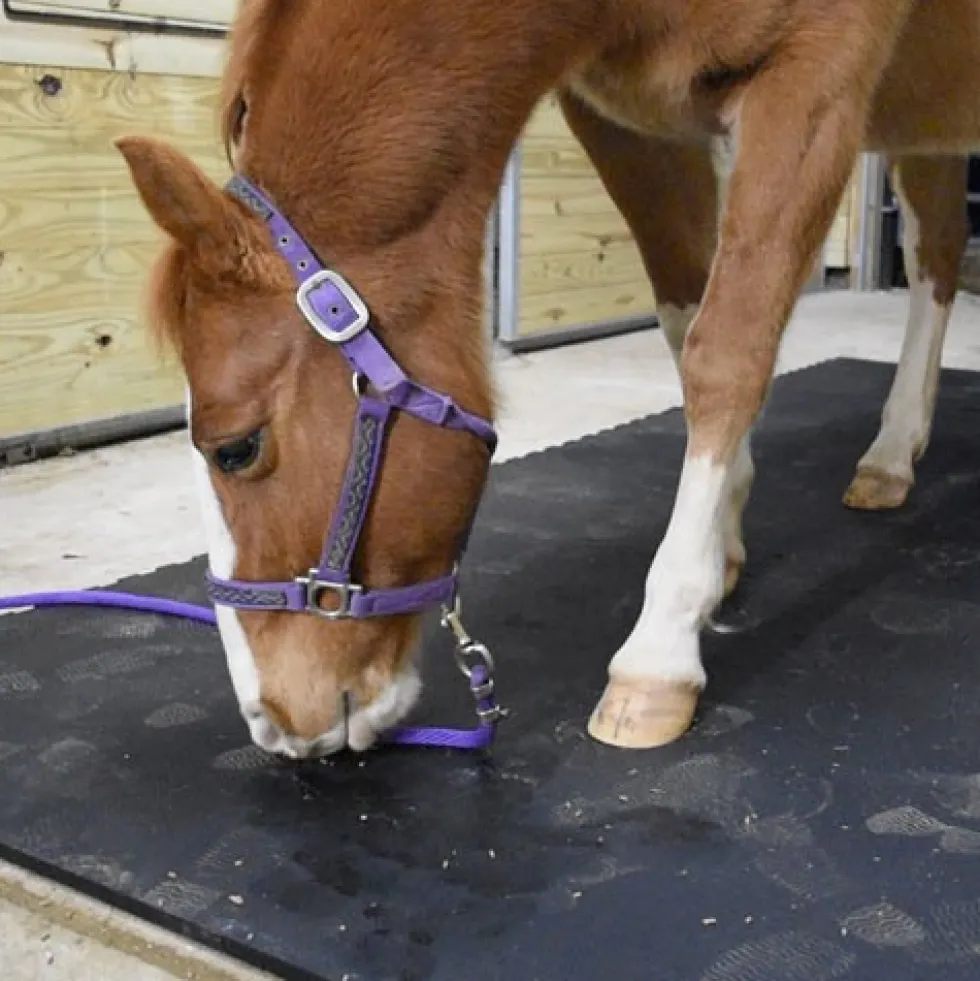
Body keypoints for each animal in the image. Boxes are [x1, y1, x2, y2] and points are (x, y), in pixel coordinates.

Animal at [115, 0, 980, 757]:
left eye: (235, 448)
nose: (271, 721)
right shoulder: (627, 126)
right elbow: (686, 318)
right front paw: (725, 542)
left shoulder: (813, 79)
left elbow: (729, 349)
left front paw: (661, 649)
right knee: (937, 248)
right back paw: (892, 456)